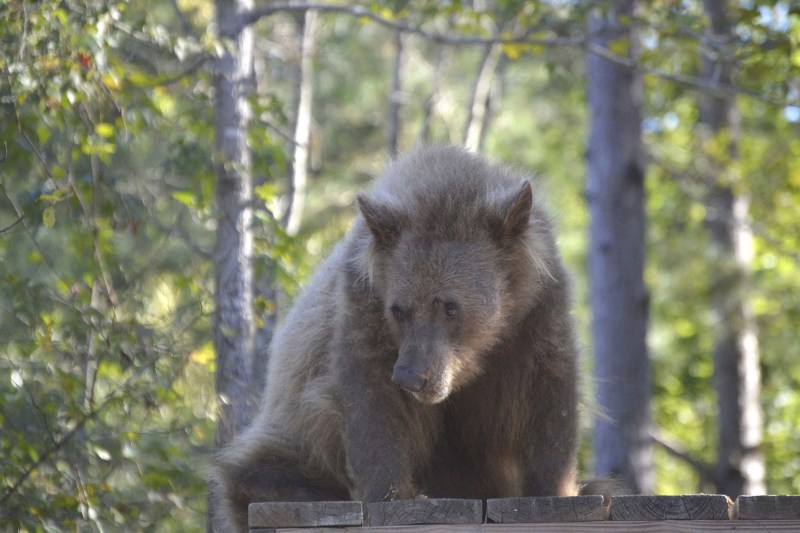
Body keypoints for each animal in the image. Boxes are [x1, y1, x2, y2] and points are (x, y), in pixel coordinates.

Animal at [209, 145, 580, 532]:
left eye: (450, 306)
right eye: (399, 309)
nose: (410, 377)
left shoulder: (538, 312)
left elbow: (549, 398)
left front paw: (553, 490)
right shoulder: (365, 307)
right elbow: (373, 403)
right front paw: (396, 495)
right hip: (291, 430)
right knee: (255, 466)